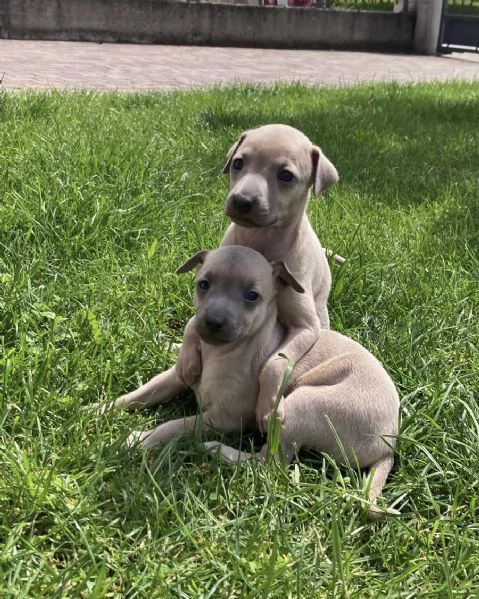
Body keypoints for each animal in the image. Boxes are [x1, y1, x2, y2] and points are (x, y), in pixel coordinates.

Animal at [124, 246, 402, 516]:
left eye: (252, 296)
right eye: (203, 285)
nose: (212, 322)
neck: (220, 352)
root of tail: (388, 446)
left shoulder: (222, 419)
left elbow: (175, 426)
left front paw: (141, 439)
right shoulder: (177, 377)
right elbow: (144, 392)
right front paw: (112, 408)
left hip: (300, 405)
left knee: (269, 465)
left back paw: (217, 450)